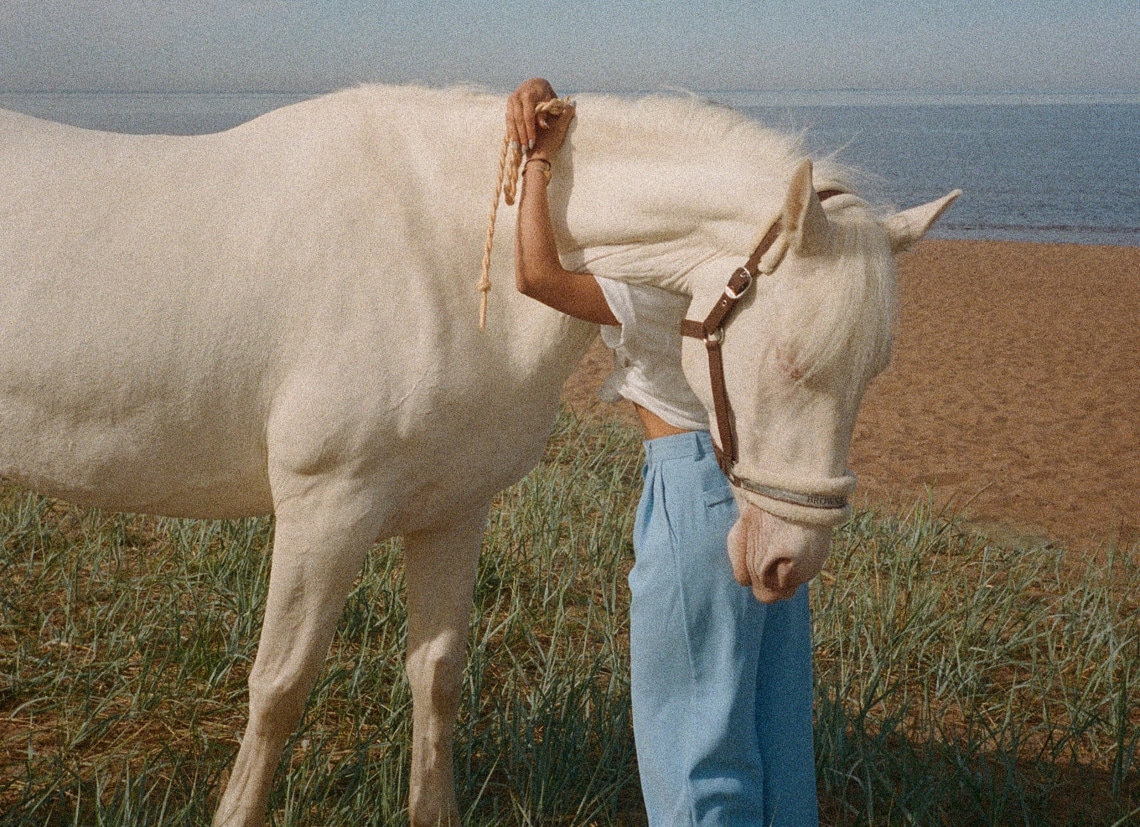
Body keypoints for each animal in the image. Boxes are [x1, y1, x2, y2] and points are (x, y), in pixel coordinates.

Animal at [0, 87, 962, 821]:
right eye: (793, 361)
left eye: (872, 370)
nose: (788, 560)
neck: (446, 247)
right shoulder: (324, 510)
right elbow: (279, 686)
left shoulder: (455, 510)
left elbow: (437, 677)